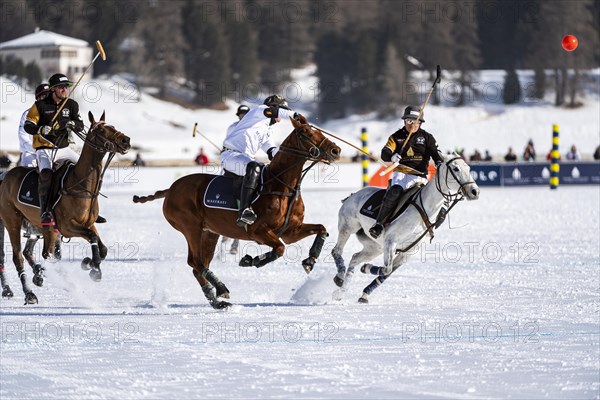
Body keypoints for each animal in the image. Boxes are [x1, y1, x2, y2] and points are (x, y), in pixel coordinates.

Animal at [0, 111, 131, 304]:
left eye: (112, 126)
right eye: (100, 129)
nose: (126, 140)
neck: (81, 185)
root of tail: (5, 177)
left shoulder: (87, 224)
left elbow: (102, 247)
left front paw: (88, 263)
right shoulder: (67, 227)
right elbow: (92, 239)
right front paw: (94, 269)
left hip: (38, 227)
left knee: (38, 252)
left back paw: (39, 277)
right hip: (12, 222)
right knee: (18, 256)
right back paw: (28, 293)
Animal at [133, 115, 340, 310]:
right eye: (307, 132)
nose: (336, 151)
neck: (282, 186)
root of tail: (171, 189)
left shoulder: (290, 231)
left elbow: (321, 228)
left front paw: (310, 261)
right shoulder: (258, 231)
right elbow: (280, 249)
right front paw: (250, 260)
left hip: (209, 232)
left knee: (198, 266)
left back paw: (217, 302)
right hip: (190, 228)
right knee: (195, 262)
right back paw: (221, 288)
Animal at [330, 153, 480, 304]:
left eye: (468, 168)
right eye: (455, 169)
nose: (475, 192)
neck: (425, 210)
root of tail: (353, 194)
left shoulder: (408, 252)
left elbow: (387, 273)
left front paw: (365, 294)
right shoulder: (391, 242)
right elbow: (386, 269)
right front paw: (365, 268)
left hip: (375, 247)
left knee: (355, 257)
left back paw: (340, 291)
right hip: (348, 226)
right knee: (336, 250)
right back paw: (340, 277)